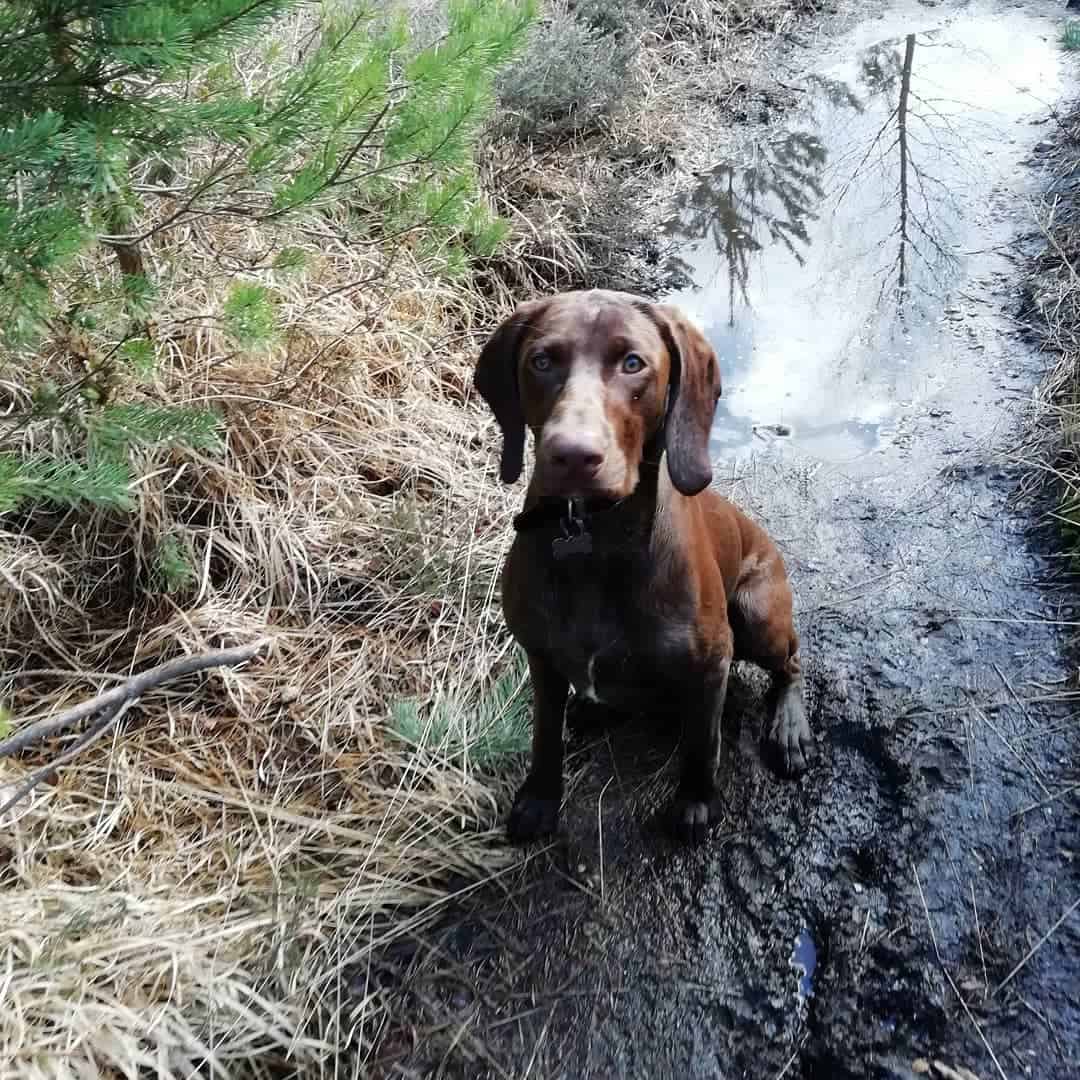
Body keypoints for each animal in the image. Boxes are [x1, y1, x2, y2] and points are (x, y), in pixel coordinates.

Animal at [473, 289, 812, 842]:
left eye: (633, 364)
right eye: (541, 361)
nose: (572, 455)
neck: (593, 540)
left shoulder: (711, 665)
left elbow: (702, 742)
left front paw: (696, 803)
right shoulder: (540, 656)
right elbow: (545, 733)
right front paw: (540, 798)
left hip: (759, 616)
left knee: (792, 665)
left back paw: (789, 728)